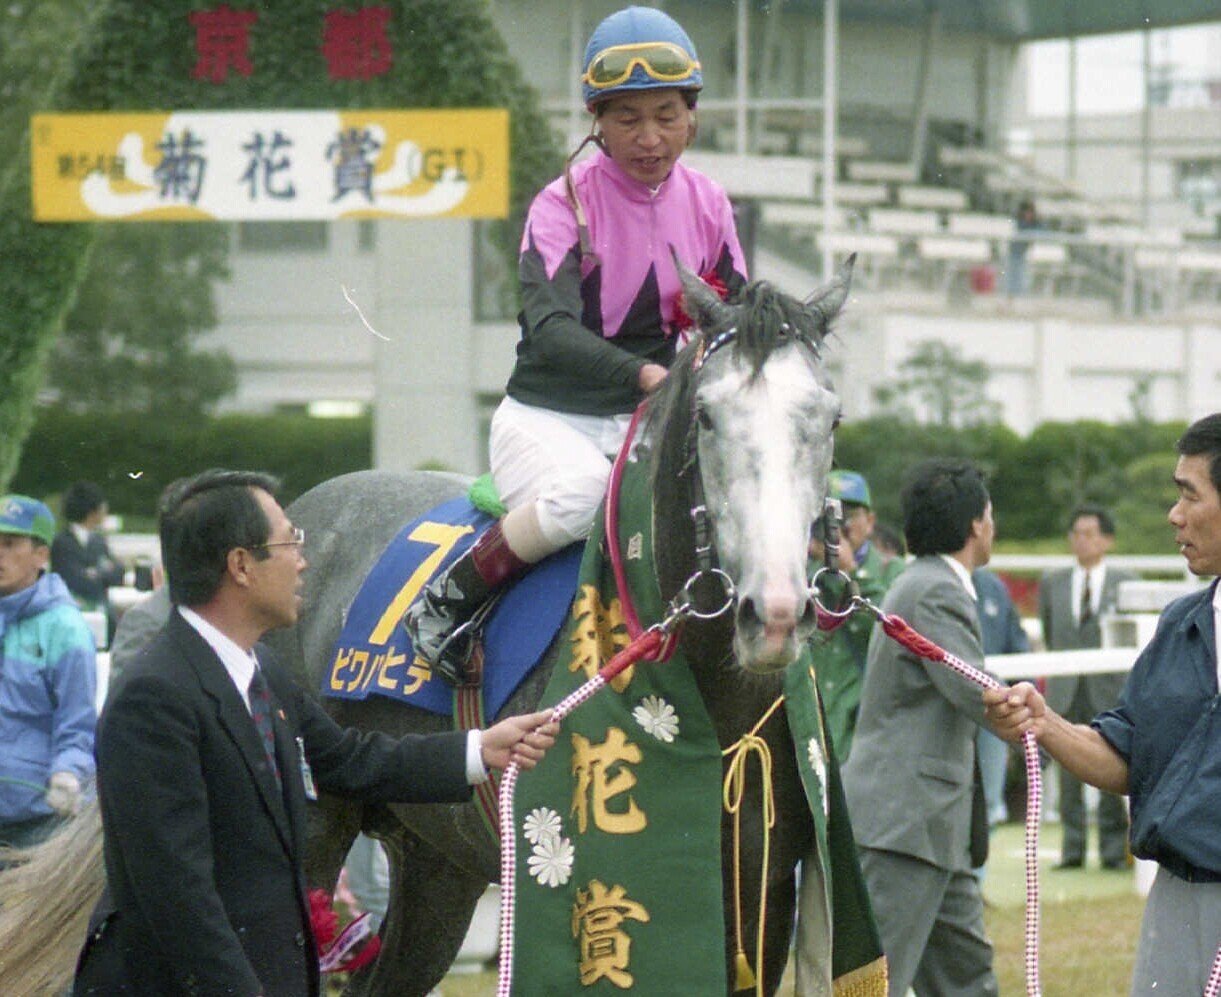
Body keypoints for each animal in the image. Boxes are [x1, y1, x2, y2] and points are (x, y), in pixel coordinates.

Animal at [0, 258, 852, 996]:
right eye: (708, 416)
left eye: (829, 415)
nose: (774, 610)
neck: (714, 709)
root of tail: (306, 506)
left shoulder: (757, 900)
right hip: (317, 830)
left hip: (437, 863)